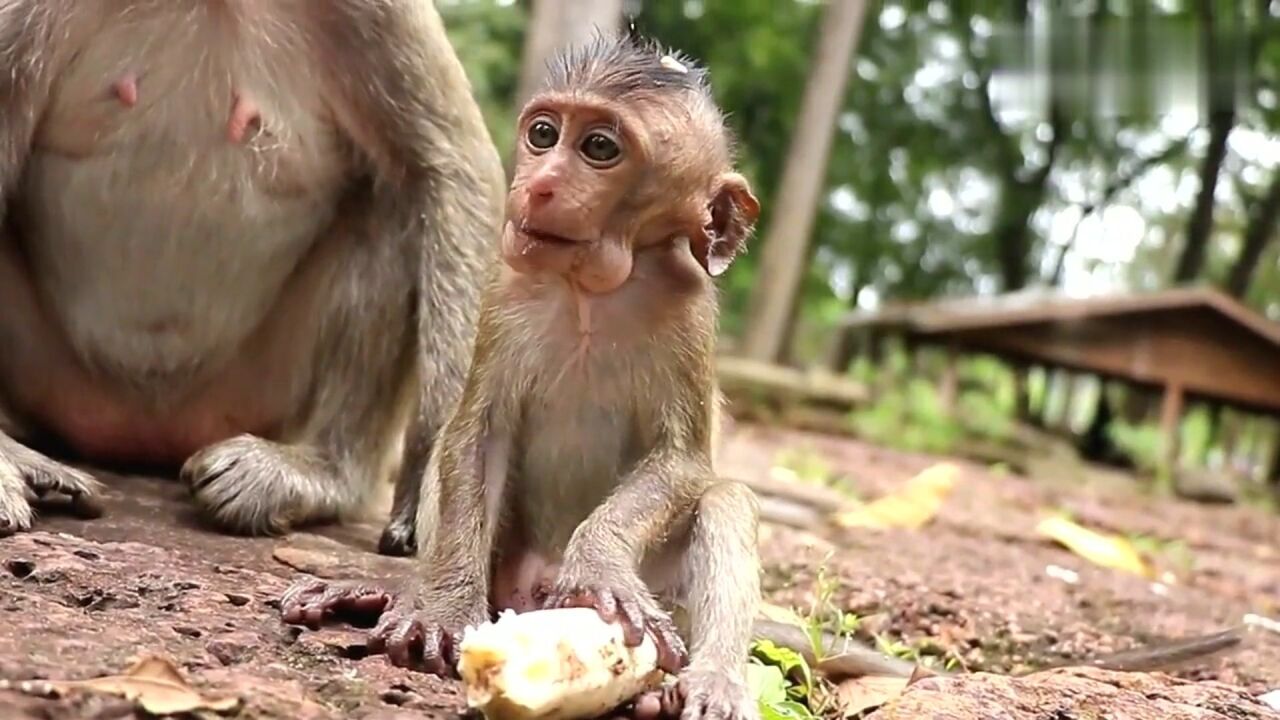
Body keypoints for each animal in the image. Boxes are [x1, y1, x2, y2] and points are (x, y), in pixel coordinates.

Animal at [285, 35, 762, 717]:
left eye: (599, 148)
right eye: (543, 134)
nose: (537, 185)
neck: (592, 290)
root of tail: (531, 587)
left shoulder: (692, 313)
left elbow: (684, 463)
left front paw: (598, 563)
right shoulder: (505, 288)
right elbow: (474, 436)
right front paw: (443, 610)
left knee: (726, 500)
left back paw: (706, 682)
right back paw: (401, 590)